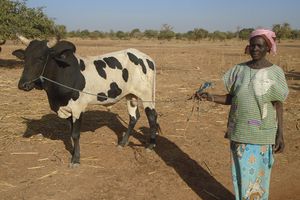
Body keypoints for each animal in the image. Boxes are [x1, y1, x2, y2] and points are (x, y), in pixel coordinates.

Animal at [12, 34, 161, 167]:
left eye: (41, 58)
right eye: (25, 58)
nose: (23, 85)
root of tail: (146, 58)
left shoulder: (78, 108)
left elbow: (75, 134)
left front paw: (76, 159)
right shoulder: (67, 109)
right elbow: (70, 133)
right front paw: (73, 152)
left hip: (146, 95)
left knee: (151, 116)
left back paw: (151, 145)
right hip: (131, 95)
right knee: (134, 117)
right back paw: (122, 143)